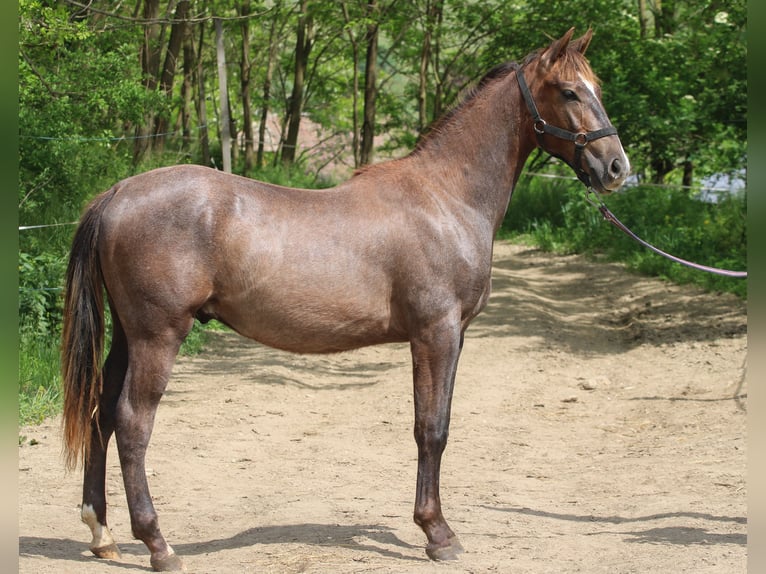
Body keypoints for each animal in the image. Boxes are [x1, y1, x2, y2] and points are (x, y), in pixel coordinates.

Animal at [63, 28, 632, 572]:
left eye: (598, 88)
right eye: (569, 92)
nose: (616, 168)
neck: (445, 197)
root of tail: (117, 193)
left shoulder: (453, 336)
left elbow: (437, 424)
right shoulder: (437, 333)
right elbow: (432, 429)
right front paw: (437, 534)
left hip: (128, 336)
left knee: (101, 412)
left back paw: (101, 532)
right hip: (158, 336)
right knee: (133, 423)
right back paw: (159, 546)